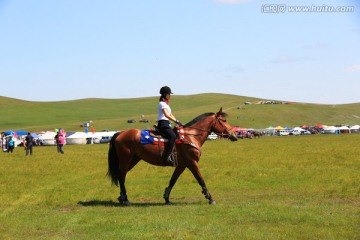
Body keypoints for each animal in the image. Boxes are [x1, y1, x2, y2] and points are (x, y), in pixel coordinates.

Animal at [107, 108, 236, 205]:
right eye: (224, 120)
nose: (234, 135)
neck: (191, 136)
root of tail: (120, 133)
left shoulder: (182, 165)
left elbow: (173, 180)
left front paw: (166, 198)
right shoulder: (192, 163)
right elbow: (200, 179)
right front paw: (210, 198)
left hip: (133, 159)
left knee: (121, 175)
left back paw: (122, 198)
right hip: (126, 159)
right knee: (121, 176)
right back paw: (125, 199)